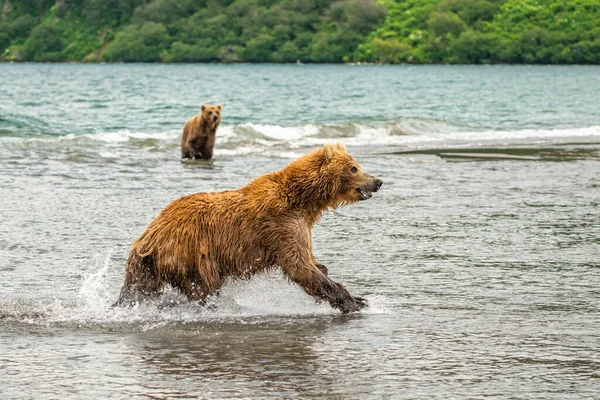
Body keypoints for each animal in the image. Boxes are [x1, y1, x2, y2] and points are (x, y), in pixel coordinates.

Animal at [115, 142, 382, 314]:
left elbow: (313, 263)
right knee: (201, 288)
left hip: (153, 266)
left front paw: (355, 296)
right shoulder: (281, 225)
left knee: (141, 289)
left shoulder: (297, 225)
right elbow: (300, 265)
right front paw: (352, 302)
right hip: (191, 253)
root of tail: (148, 235)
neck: (304, 201)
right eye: (354, 168)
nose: (378, 181)